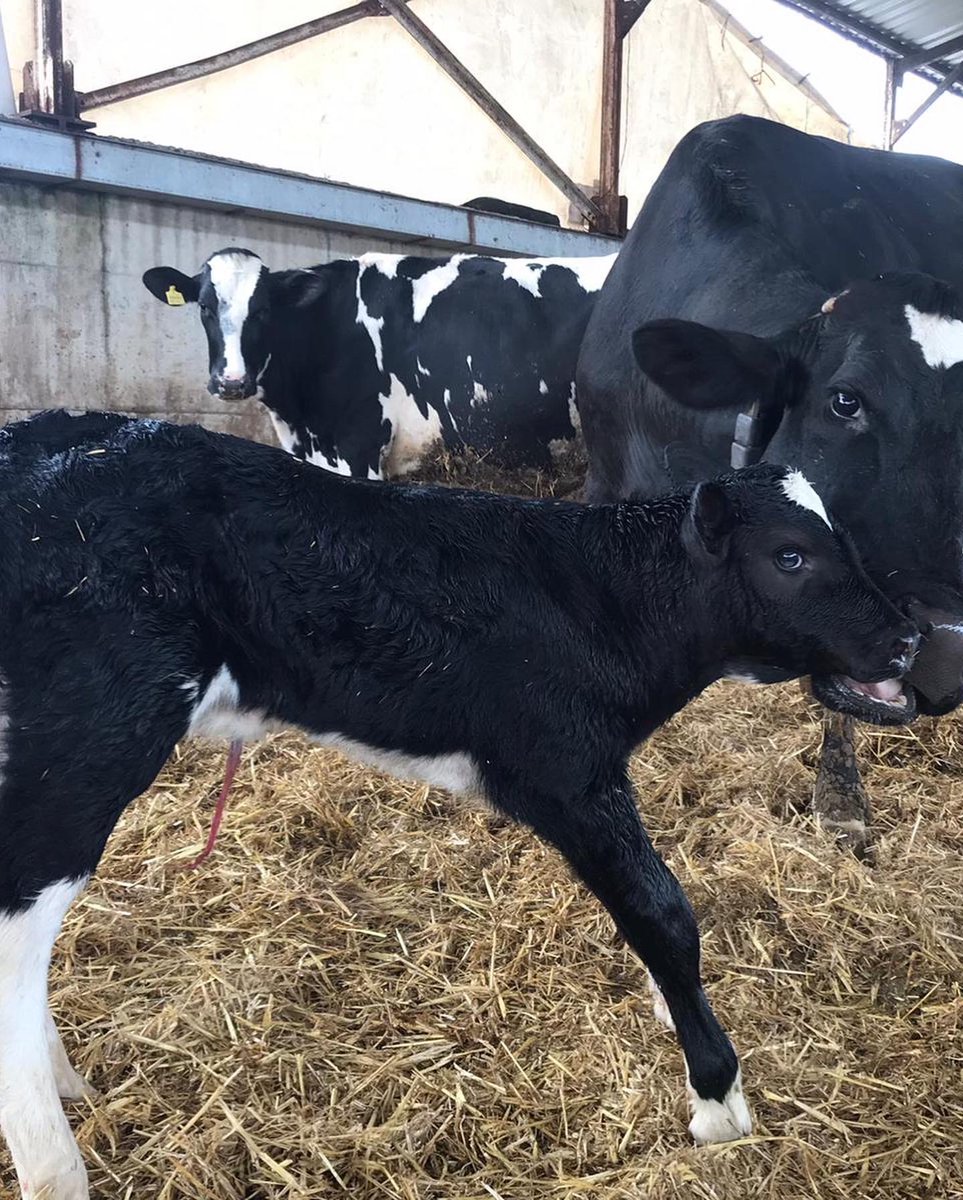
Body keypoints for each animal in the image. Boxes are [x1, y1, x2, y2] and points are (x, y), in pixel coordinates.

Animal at [0, 409, 917, 1196]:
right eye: (790, 556)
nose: (909, 638)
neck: (603, 604)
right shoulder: (567, 773)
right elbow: (661, 912)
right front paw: (718, 1100)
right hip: (81, 749)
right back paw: (57, 1167)